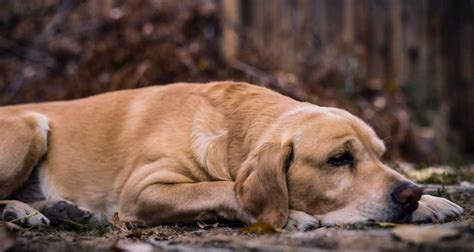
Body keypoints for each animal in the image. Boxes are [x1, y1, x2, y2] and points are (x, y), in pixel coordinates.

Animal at [0, 82, 462, 230]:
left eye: (380, 155)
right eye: (338, 159)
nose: (410, 195)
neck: (233, 129)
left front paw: (432, 201)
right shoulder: (141, 192)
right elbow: (221, 187)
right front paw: (291, 215)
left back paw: (61, 209)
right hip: (30, 128)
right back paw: (19, 212)